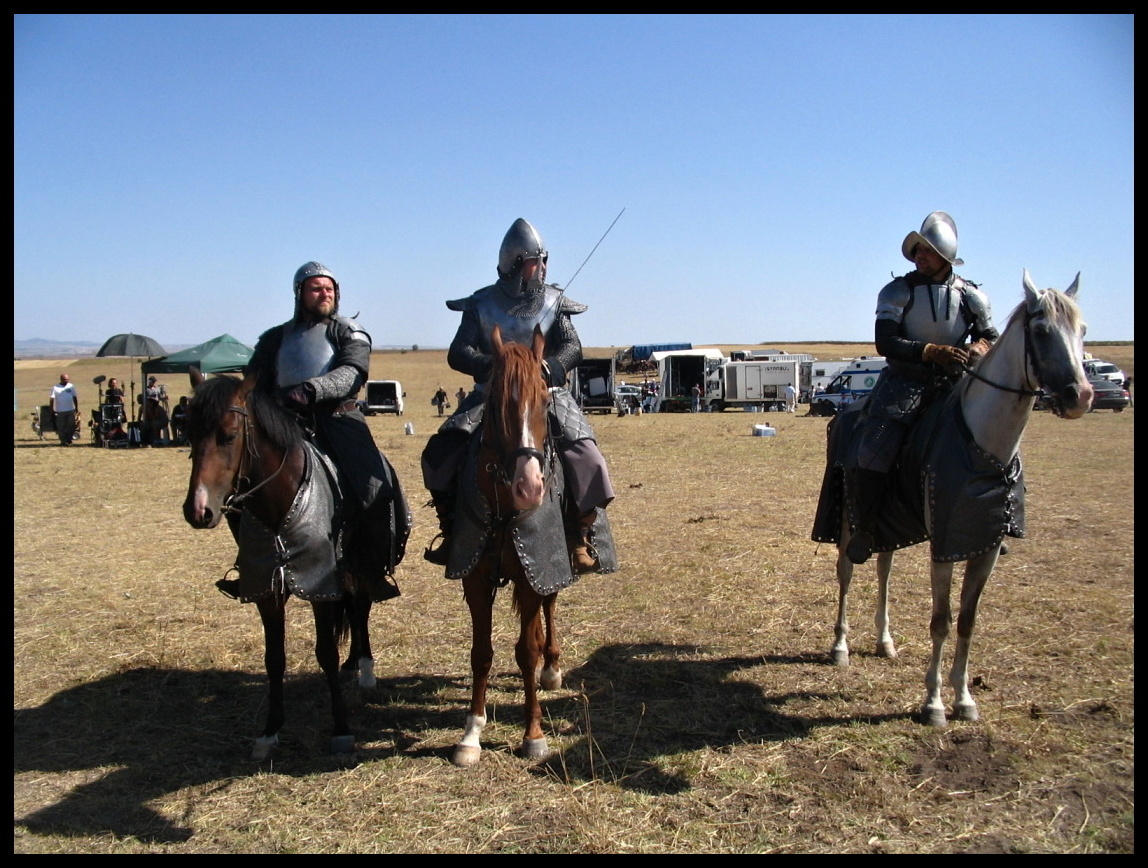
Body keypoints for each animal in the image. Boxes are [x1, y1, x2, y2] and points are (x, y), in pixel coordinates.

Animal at [821, 269, 1088, 725]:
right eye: (1040, 330)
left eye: (1082, 330)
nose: (1081, 396)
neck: (983, 445)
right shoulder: (945, 549)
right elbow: (941, 621)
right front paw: (933, 703)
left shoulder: (985, 547)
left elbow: (967, 621)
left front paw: (964, 699)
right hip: (848, 518)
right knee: (847, 570)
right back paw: (840, 646)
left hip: (889, 516)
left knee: (884, 569)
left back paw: (884, 641)